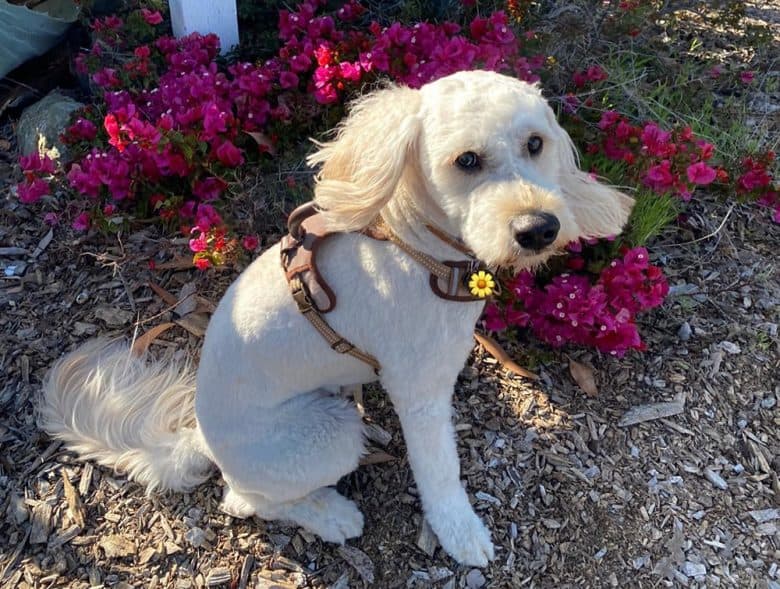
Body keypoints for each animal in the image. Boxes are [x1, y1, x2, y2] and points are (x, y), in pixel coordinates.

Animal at [38, 69, 632, 564]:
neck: (414, 246)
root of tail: (202, 440)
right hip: (324, 434)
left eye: (536, 144)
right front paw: (461, 533)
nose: (539, 228)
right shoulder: (419, 393)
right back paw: (331, 515)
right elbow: (440, 471)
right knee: (244, 500)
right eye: (466, 160)